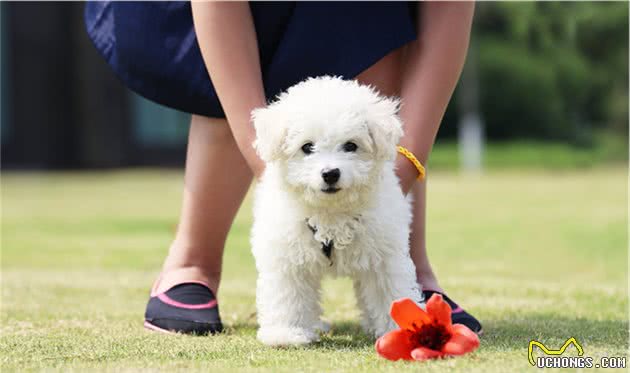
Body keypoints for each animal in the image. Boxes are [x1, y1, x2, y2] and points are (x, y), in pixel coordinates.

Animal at [252, 75, 424, 346]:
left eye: (351, 146)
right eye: (307, 147)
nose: (330, 173)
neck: (331, 212)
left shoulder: (384, 254)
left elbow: (390, 291)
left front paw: (402, 328)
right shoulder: (287, 254)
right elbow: (288, 294)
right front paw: (287, 333)